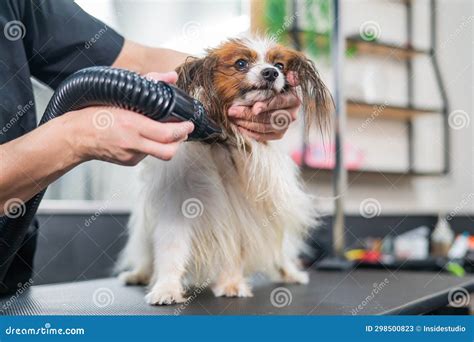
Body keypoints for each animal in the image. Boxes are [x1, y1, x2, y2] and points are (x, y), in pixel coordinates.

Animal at [117, 36, 332, 304]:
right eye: (241, 63)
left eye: (279, 65)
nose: (271, 73)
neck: (224, 144)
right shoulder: (178, 208)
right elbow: (171, 251)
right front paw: (166, 289)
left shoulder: (239, 213)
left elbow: (234, 252)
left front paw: (231, 284)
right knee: (146, 255)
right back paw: (139, 274)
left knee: (281, 252)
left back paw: (290, 273)